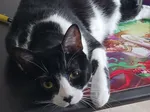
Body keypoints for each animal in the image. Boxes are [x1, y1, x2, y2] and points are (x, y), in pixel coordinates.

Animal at [4, 0, 150, 109]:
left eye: (74, 74)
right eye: (47, 84)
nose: (68, 98)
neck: (44, 31)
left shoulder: (91, 41)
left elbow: (99, 60)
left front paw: (99, 95)